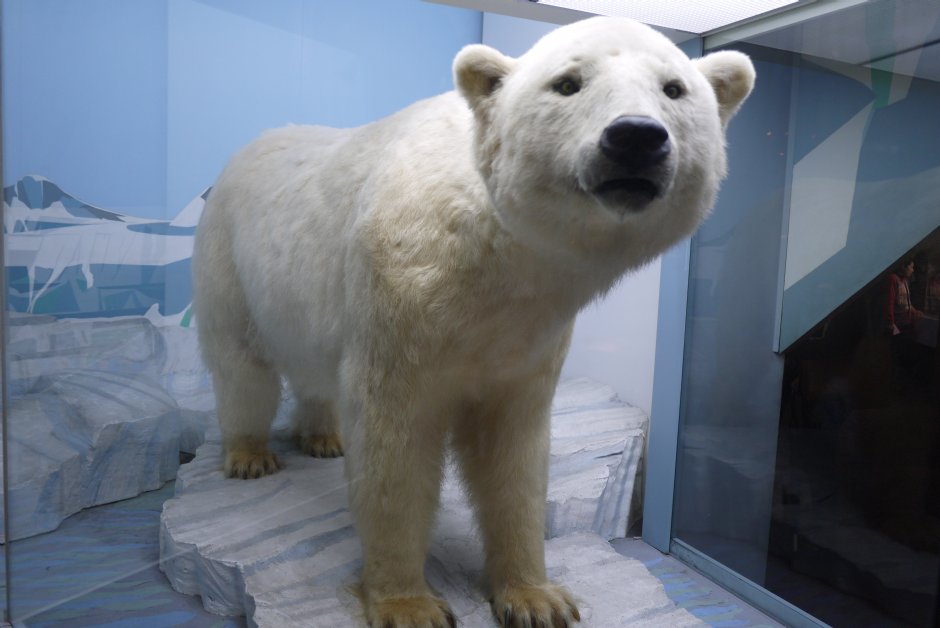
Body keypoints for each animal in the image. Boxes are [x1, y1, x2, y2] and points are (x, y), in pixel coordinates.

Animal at [192, 16, 754, 628]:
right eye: (567, 83)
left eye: (674, 89)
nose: (635, 137)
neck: (493, 253)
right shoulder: (400, 298)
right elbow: (396, 444)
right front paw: (409, 604)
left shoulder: (532, 331)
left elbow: (512, 449)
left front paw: (536, 598)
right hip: (230, 260)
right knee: (241, 365)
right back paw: (250, 455)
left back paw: (323, 436)